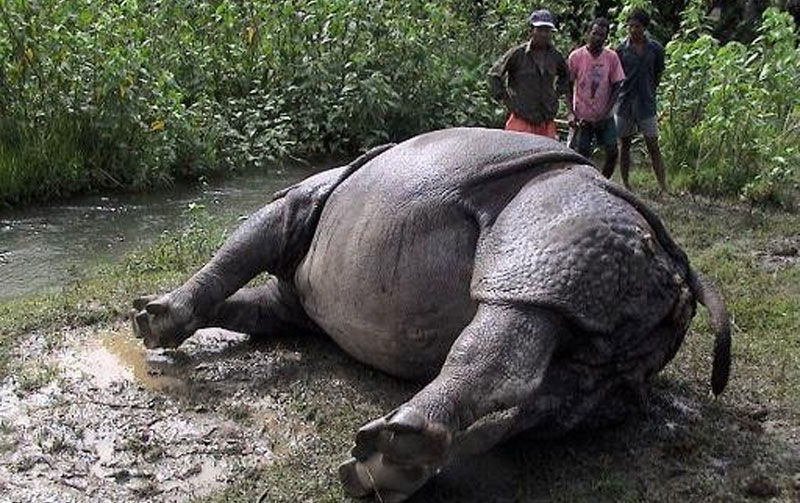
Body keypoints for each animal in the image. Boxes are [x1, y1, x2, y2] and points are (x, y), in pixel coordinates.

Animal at [131, 127, 732, 503]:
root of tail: (675, 266)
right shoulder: (291, 307)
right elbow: (244, 303)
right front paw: (151, 313)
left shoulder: (294, 206)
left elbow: (237, 251)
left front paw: (153, 318)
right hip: (609, 287)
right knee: (563, 392)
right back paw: (388, 468)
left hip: (561, 221)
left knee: (513, 310)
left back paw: (387, 452)